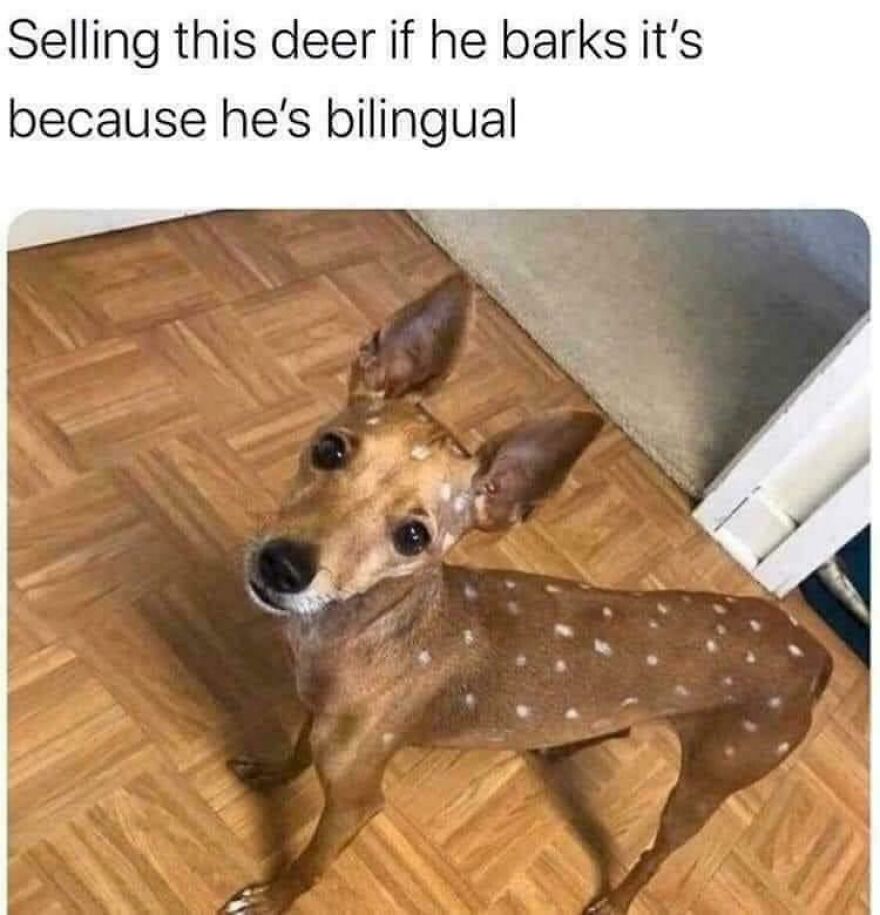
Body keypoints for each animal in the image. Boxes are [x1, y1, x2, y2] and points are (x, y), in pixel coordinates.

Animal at [221, 273, 832, 914]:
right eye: (330, 449)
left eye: (414, 537)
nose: (283, 565)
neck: (363, 633)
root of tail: (815, 654)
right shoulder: (318, 721)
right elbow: (295, 752)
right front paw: (271, 773)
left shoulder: (357, 798)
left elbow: (309, 866)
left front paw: (268, 900)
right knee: (619, 725)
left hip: (708, 784)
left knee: (655, 856)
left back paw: (615, 900)